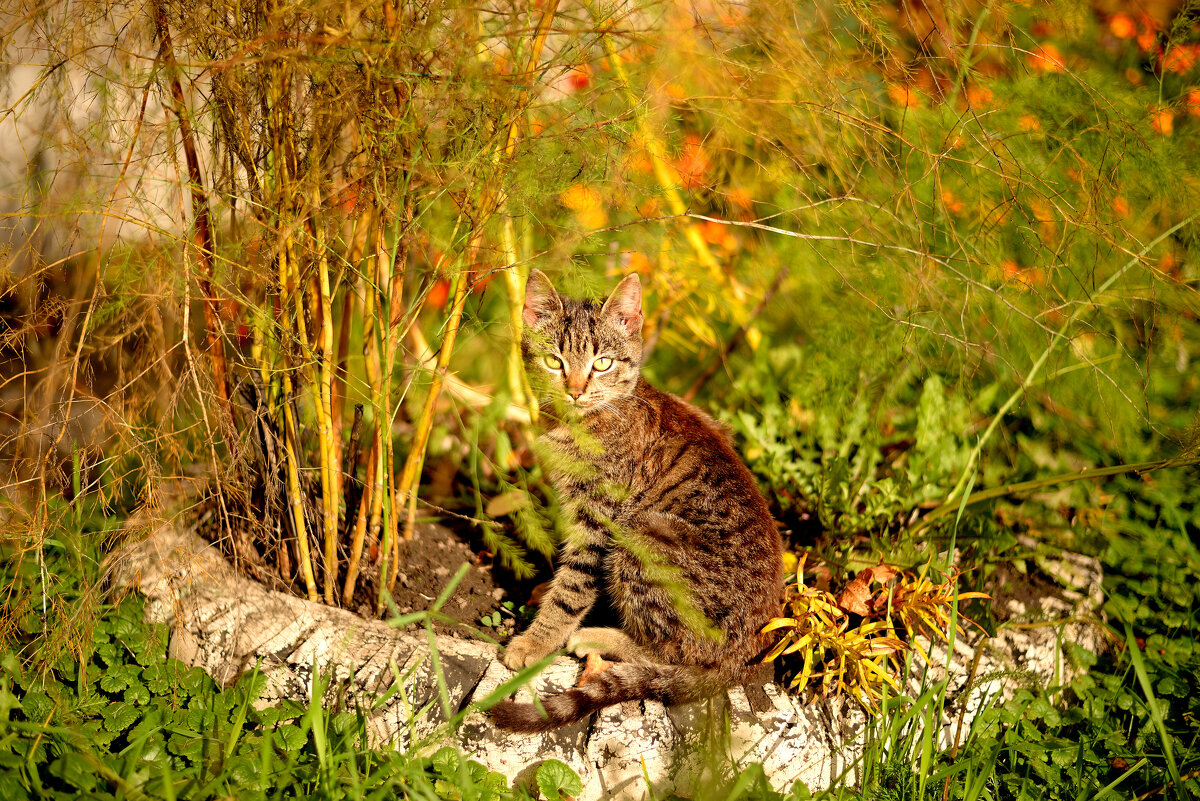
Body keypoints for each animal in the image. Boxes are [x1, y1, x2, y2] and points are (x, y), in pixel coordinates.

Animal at [489, 268, 787, 733]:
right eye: (555, 361)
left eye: (602, 363)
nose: (575, 390)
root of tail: (743, 659)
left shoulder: (598, 520)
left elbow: (572, 587)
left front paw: (537, 641)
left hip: (644, 535)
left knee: (672, 653)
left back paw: (599, 636)